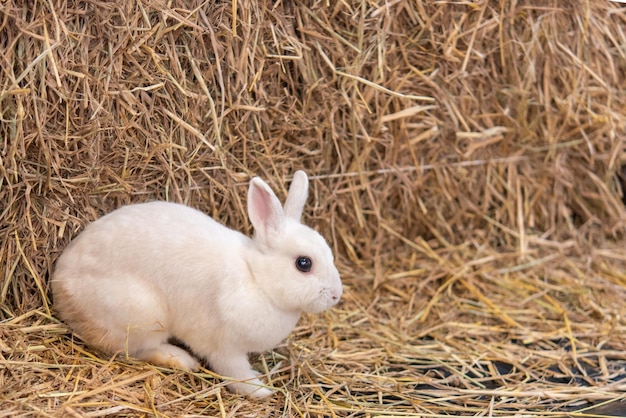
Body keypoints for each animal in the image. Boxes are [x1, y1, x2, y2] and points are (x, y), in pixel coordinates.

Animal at [51, 171, 342, 398]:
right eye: (304, 263)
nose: (336, 295)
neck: (256, 278)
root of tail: (60, 286)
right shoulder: (223, 347)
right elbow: (235, 373)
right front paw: (260, 390)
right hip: (144, 315)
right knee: (137, 350)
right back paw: (181, 360)